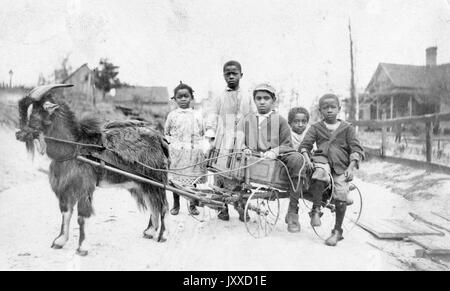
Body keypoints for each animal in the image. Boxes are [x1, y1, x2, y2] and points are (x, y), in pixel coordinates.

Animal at [16, 84, 169, 256]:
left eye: (34, 116)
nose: (18, 134)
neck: (75, 147)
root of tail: (160, 139)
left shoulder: (84, 188)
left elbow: (81, 217)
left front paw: (82, 247)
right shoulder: (65, 188)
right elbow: (65, 213)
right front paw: (60, 241)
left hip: (157, 180)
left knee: (163, 206)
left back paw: (162, 235)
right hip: (143, 183)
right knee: (153, 205)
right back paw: (149, 231)